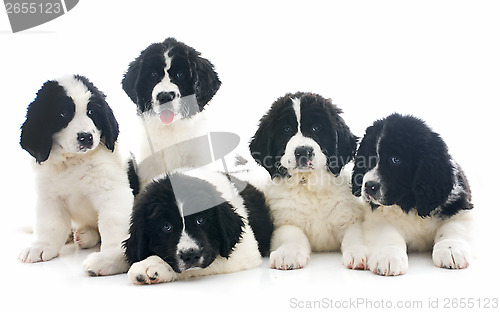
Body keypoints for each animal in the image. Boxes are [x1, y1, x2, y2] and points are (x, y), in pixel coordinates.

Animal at [19, 75, 134, 276]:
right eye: (63, 114)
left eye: (92, 112)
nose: (86, 137)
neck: (73, 161)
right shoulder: (49, 196)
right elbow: (49, 223)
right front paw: (42, 245)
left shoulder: (112, 192)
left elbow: (112, 223)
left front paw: (111, 256)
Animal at [249, 92, 368, 270]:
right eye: (286, 129)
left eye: (316, 128)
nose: (303, 151)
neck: (309, 187)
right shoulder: (285, 222)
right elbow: (291, 234)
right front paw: (288, 252)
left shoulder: (350, 217)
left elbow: (355, 235)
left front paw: (358, 252)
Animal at [350, 114, 474, 276]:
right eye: (368, 158)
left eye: (395, 160)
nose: (369, 187)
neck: (411, 202)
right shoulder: (376, 218)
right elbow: (387, 234)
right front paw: (389, 256)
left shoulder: (459, 206)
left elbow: (453, 228)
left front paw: (451, 250)